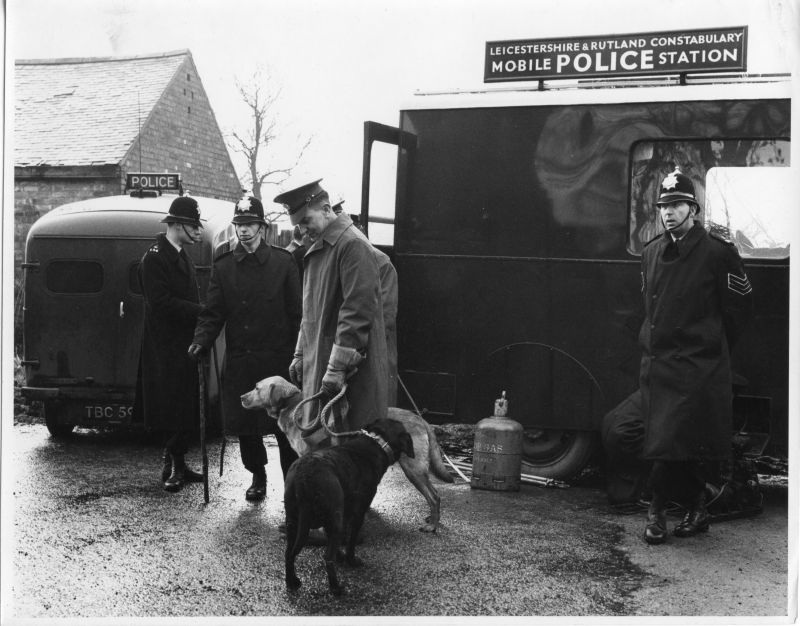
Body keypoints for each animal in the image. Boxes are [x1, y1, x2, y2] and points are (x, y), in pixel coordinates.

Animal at [284, 416, 416, 592]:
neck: (377, 442)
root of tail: (304, 476)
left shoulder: (342, 515)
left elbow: (341, 538)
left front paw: (341, 556)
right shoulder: (358, 513)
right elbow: (351, 541)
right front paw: (351, 560)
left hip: (294, 521)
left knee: (288, 553)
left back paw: (291, 581)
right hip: (333, 519)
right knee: (327, 557)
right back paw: (336, 589)